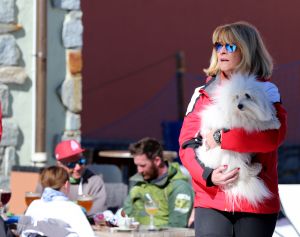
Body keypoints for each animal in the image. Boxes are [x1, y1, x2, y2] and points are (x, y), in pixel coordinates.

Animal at [196, 73, 280, 207]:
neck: (245, 114)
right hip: (230, 156)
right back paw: (255, 168)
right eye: (236, 97)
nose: (239, 106)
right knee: (241, 170)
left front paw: (273, 114)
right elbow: (259, 123)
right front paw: (273, 122)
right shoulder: (245, 125)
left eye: (247, 95)